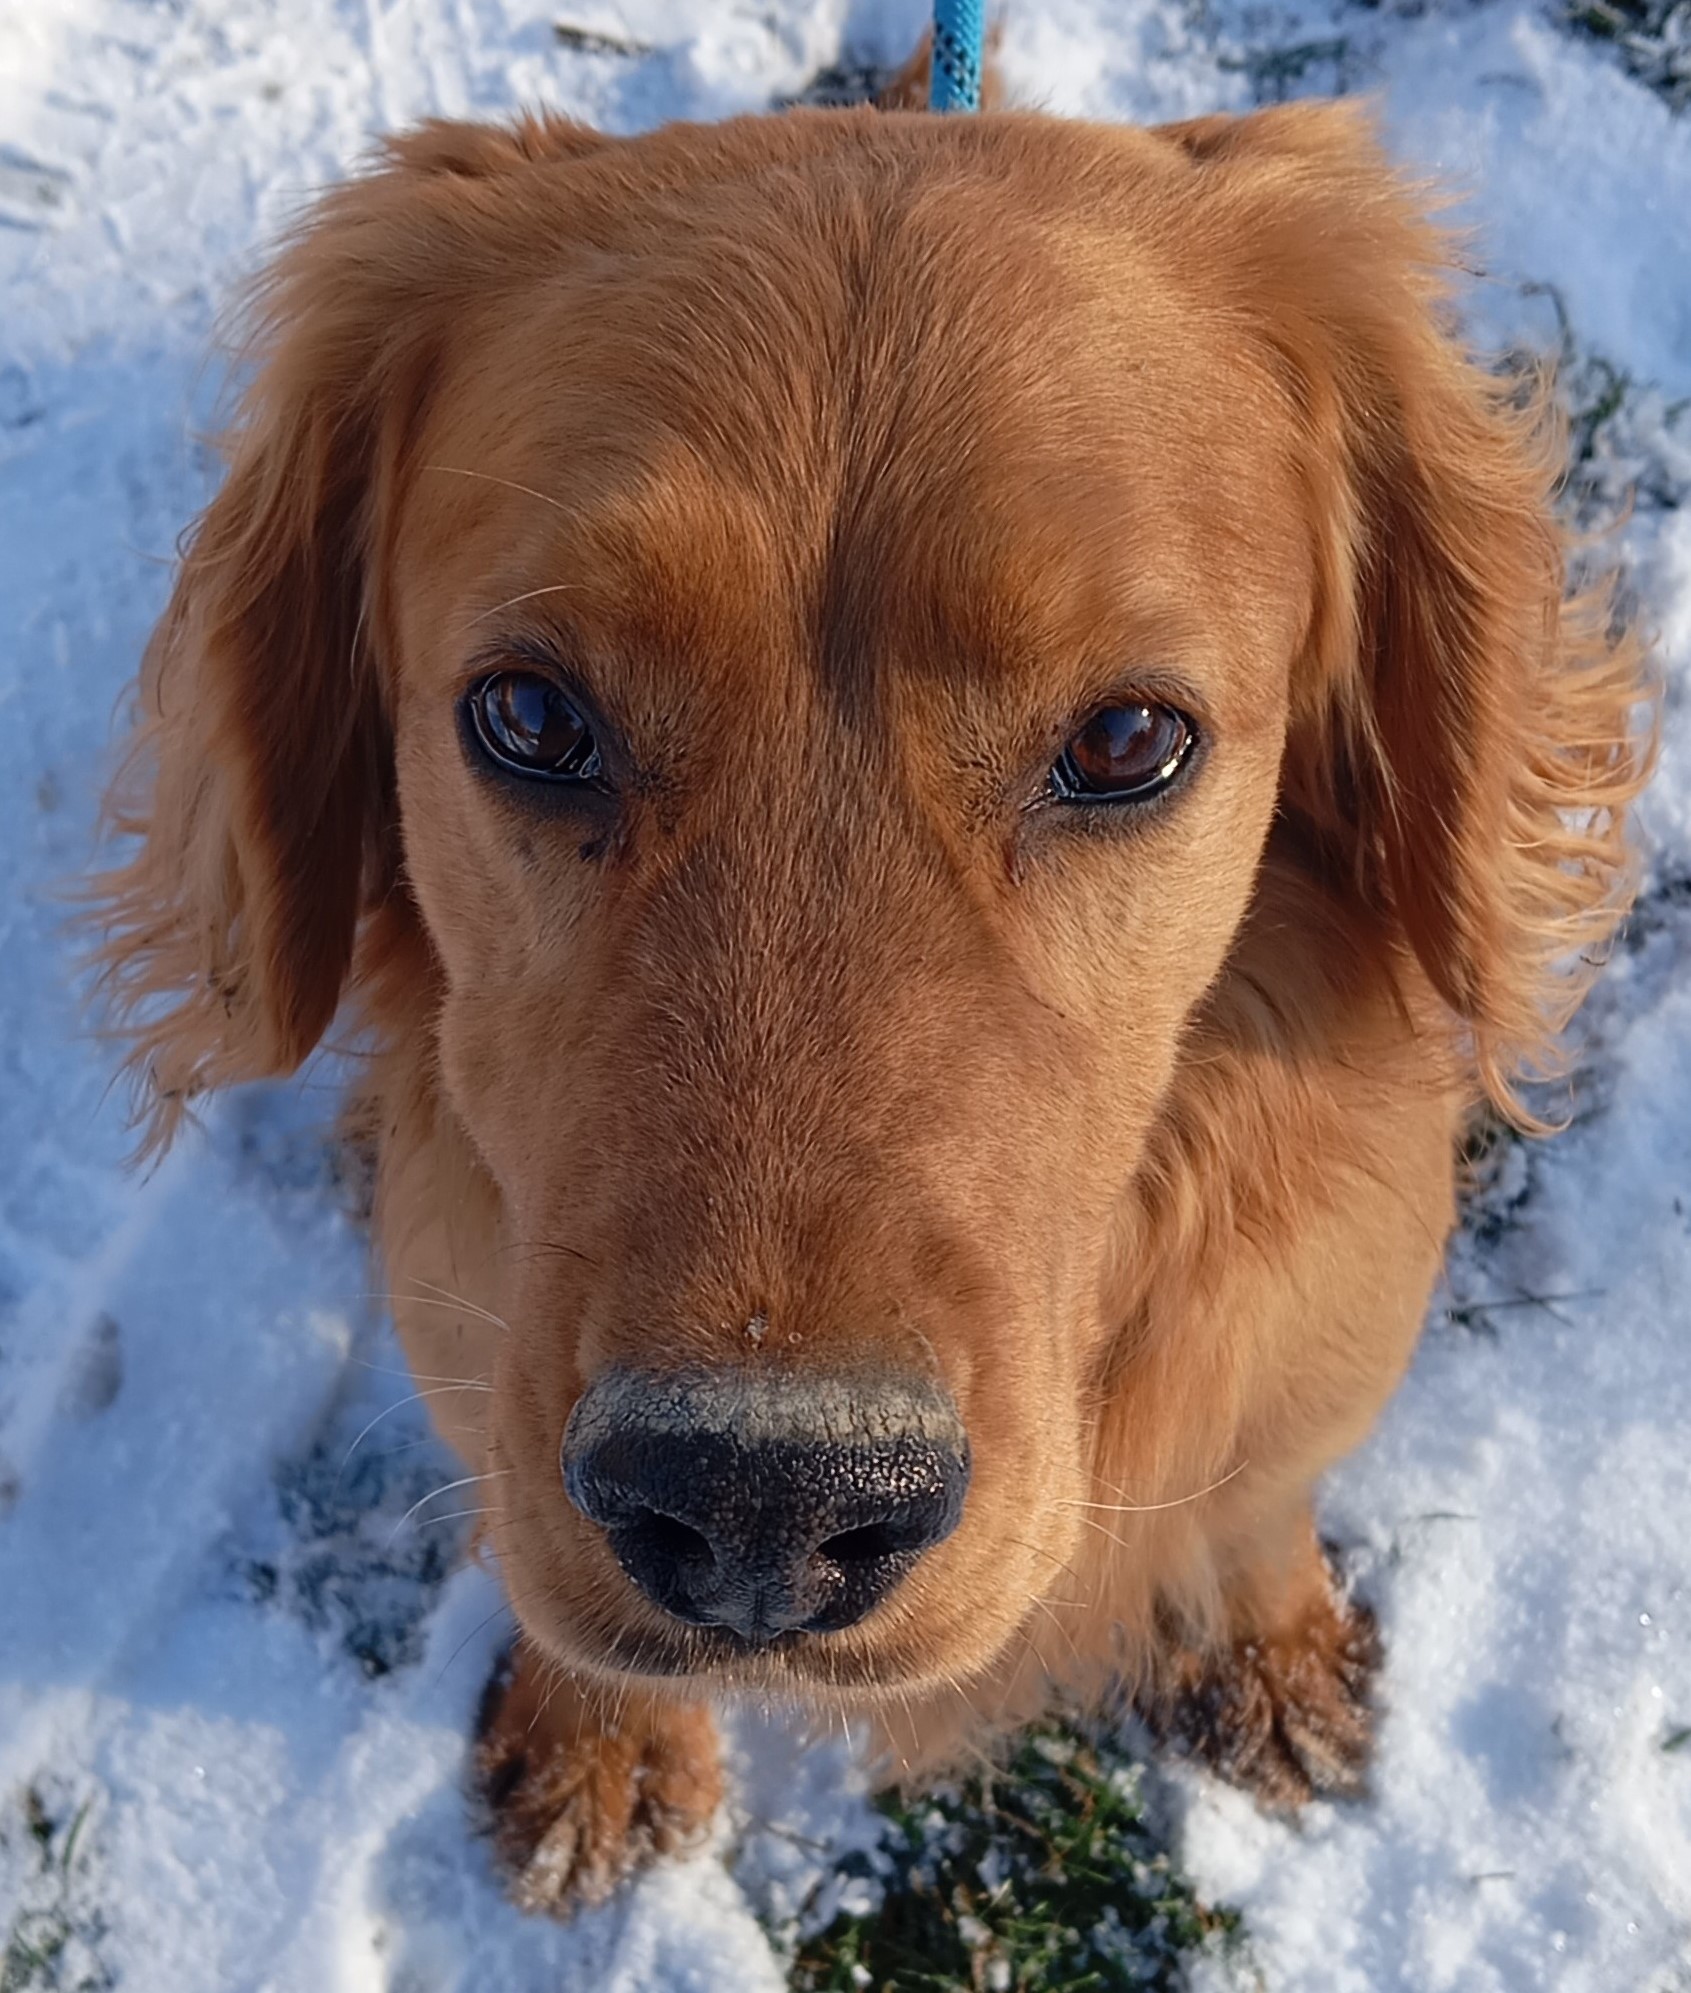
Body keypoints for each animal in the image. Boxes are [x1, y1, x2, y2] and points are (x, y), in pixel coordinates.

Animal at [89, 44, 1649, 1916]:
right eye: (529, 716)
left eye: (1124, 741)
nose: (759, 1508)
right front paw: (600, 1741)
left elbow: (1254, 1484)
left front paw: (1260, 1639)